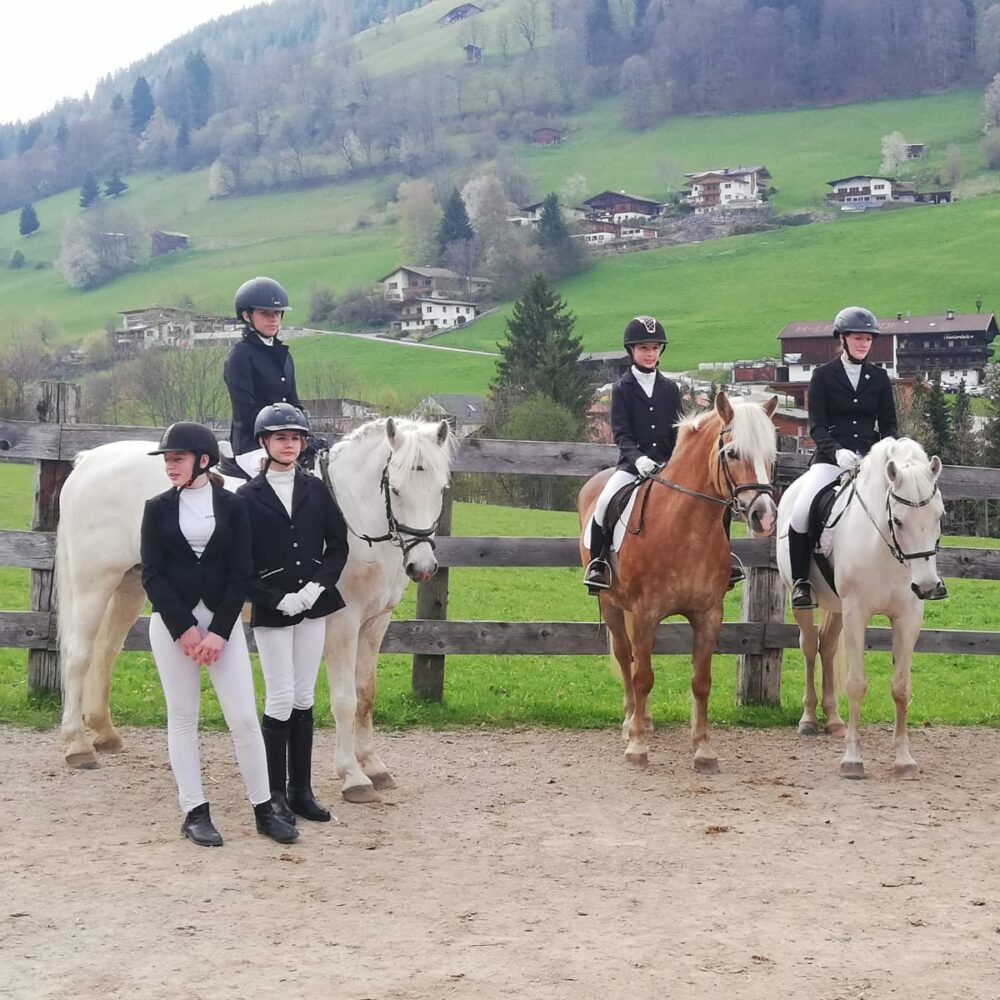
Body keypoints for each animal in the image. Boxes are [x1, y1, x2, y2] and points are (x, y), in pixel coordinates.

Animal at [57, 417, 456, 802]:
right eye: (396, 489)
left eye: (441, 489)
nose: (422, 567)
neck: (353, 511)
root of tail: (89, 461)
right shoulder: (343, 622)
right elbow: (345, 699)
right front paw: (353, 777)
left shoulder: (375, 623)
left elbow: (366, 694)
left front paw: (374, 766)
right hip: (95, 584)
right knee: (79, 654)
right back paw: (77, 746)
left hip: (130, 585)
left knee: (106, 652)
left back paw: (104, 733)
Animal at [577, 392, 779, 772]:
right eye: (733, 453)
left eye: (771, 455)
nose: (765, 517)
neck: (687, 529)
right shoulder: (645, 613)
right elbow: (642, 676)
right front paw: (637, 747)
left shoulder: (708, 616)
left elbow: (701, 681)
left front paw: (703, 749)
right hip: (611, 604)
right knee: (625, 657)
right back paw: (631, 722)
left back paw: (645, 720)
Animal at [776, 437, 945, 778]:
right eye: (898, 520)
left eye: (939, 516)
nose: (926, 586)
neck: (885, 549)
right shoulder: (857, 613)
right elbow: (856, 685)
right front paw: (852, 760)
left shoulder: (908, 618)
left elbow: (901, 687)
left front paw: (904, 759)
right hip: (803, 600)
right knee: (809, 646)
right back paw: (809, 719)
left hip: (838, 609)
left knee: (827, 647)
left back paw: (834, 720)